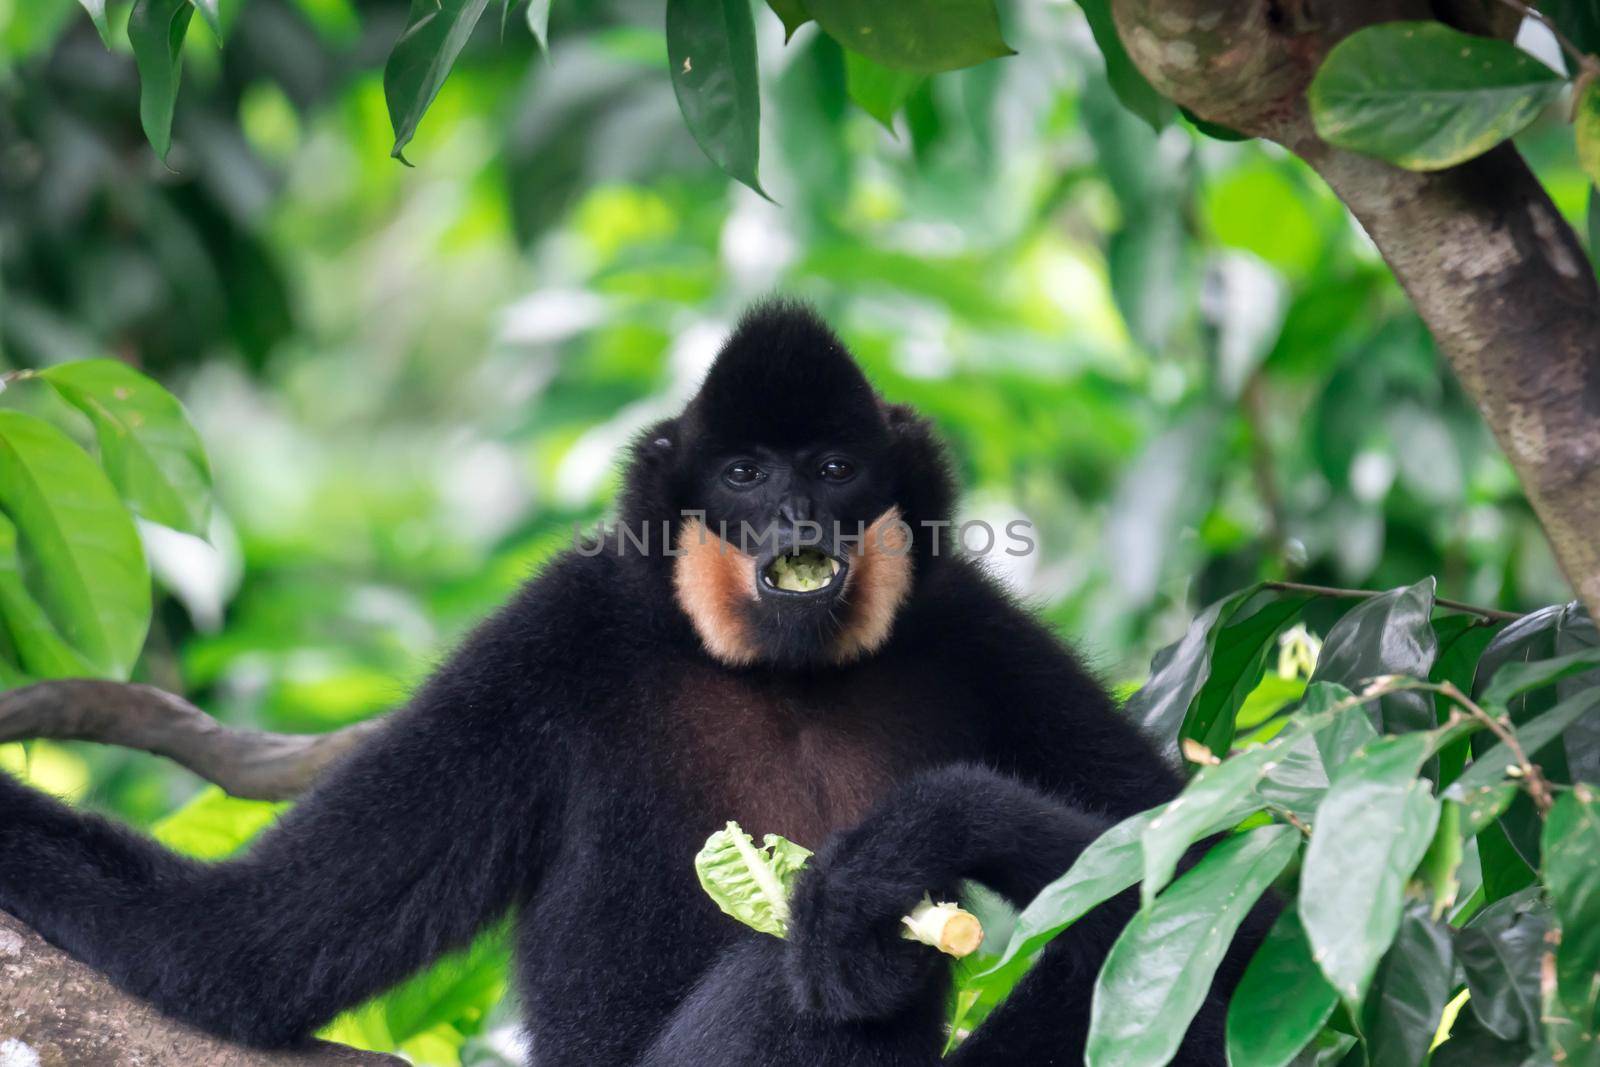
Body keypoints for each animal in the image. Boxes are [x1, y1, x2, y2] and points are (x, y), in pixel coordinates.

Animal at [0, 303, 1241, 1062]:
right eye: (744, 473)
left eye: (833, 466)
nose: (795, 512)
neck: (783, 676)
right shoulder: (553, 638)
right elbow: (239, 944)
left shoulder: (973, 628)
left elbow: (1224, 858)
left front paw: (921, 828)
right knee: (806, 960)